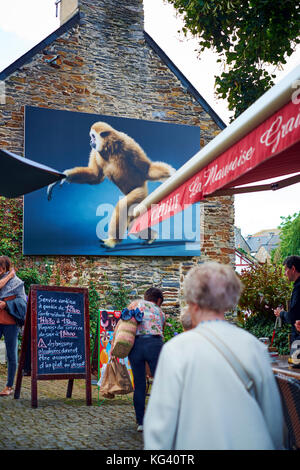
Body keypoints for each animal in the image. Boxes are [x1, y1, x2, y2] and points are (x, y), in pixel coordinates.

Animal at [47, 121, 176, 248]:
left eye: (93, 136)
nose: (90, 141)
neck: (110, 149)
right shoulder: (95, 152)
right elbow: (95, 176)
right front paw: (64, 176)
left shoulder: (128, 142)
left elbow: (146, 170)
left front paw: (171, 174)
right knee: (131, 221)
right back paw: (151, 237)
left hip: (141, 192)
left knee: (123, 206)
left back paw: (112, 241)